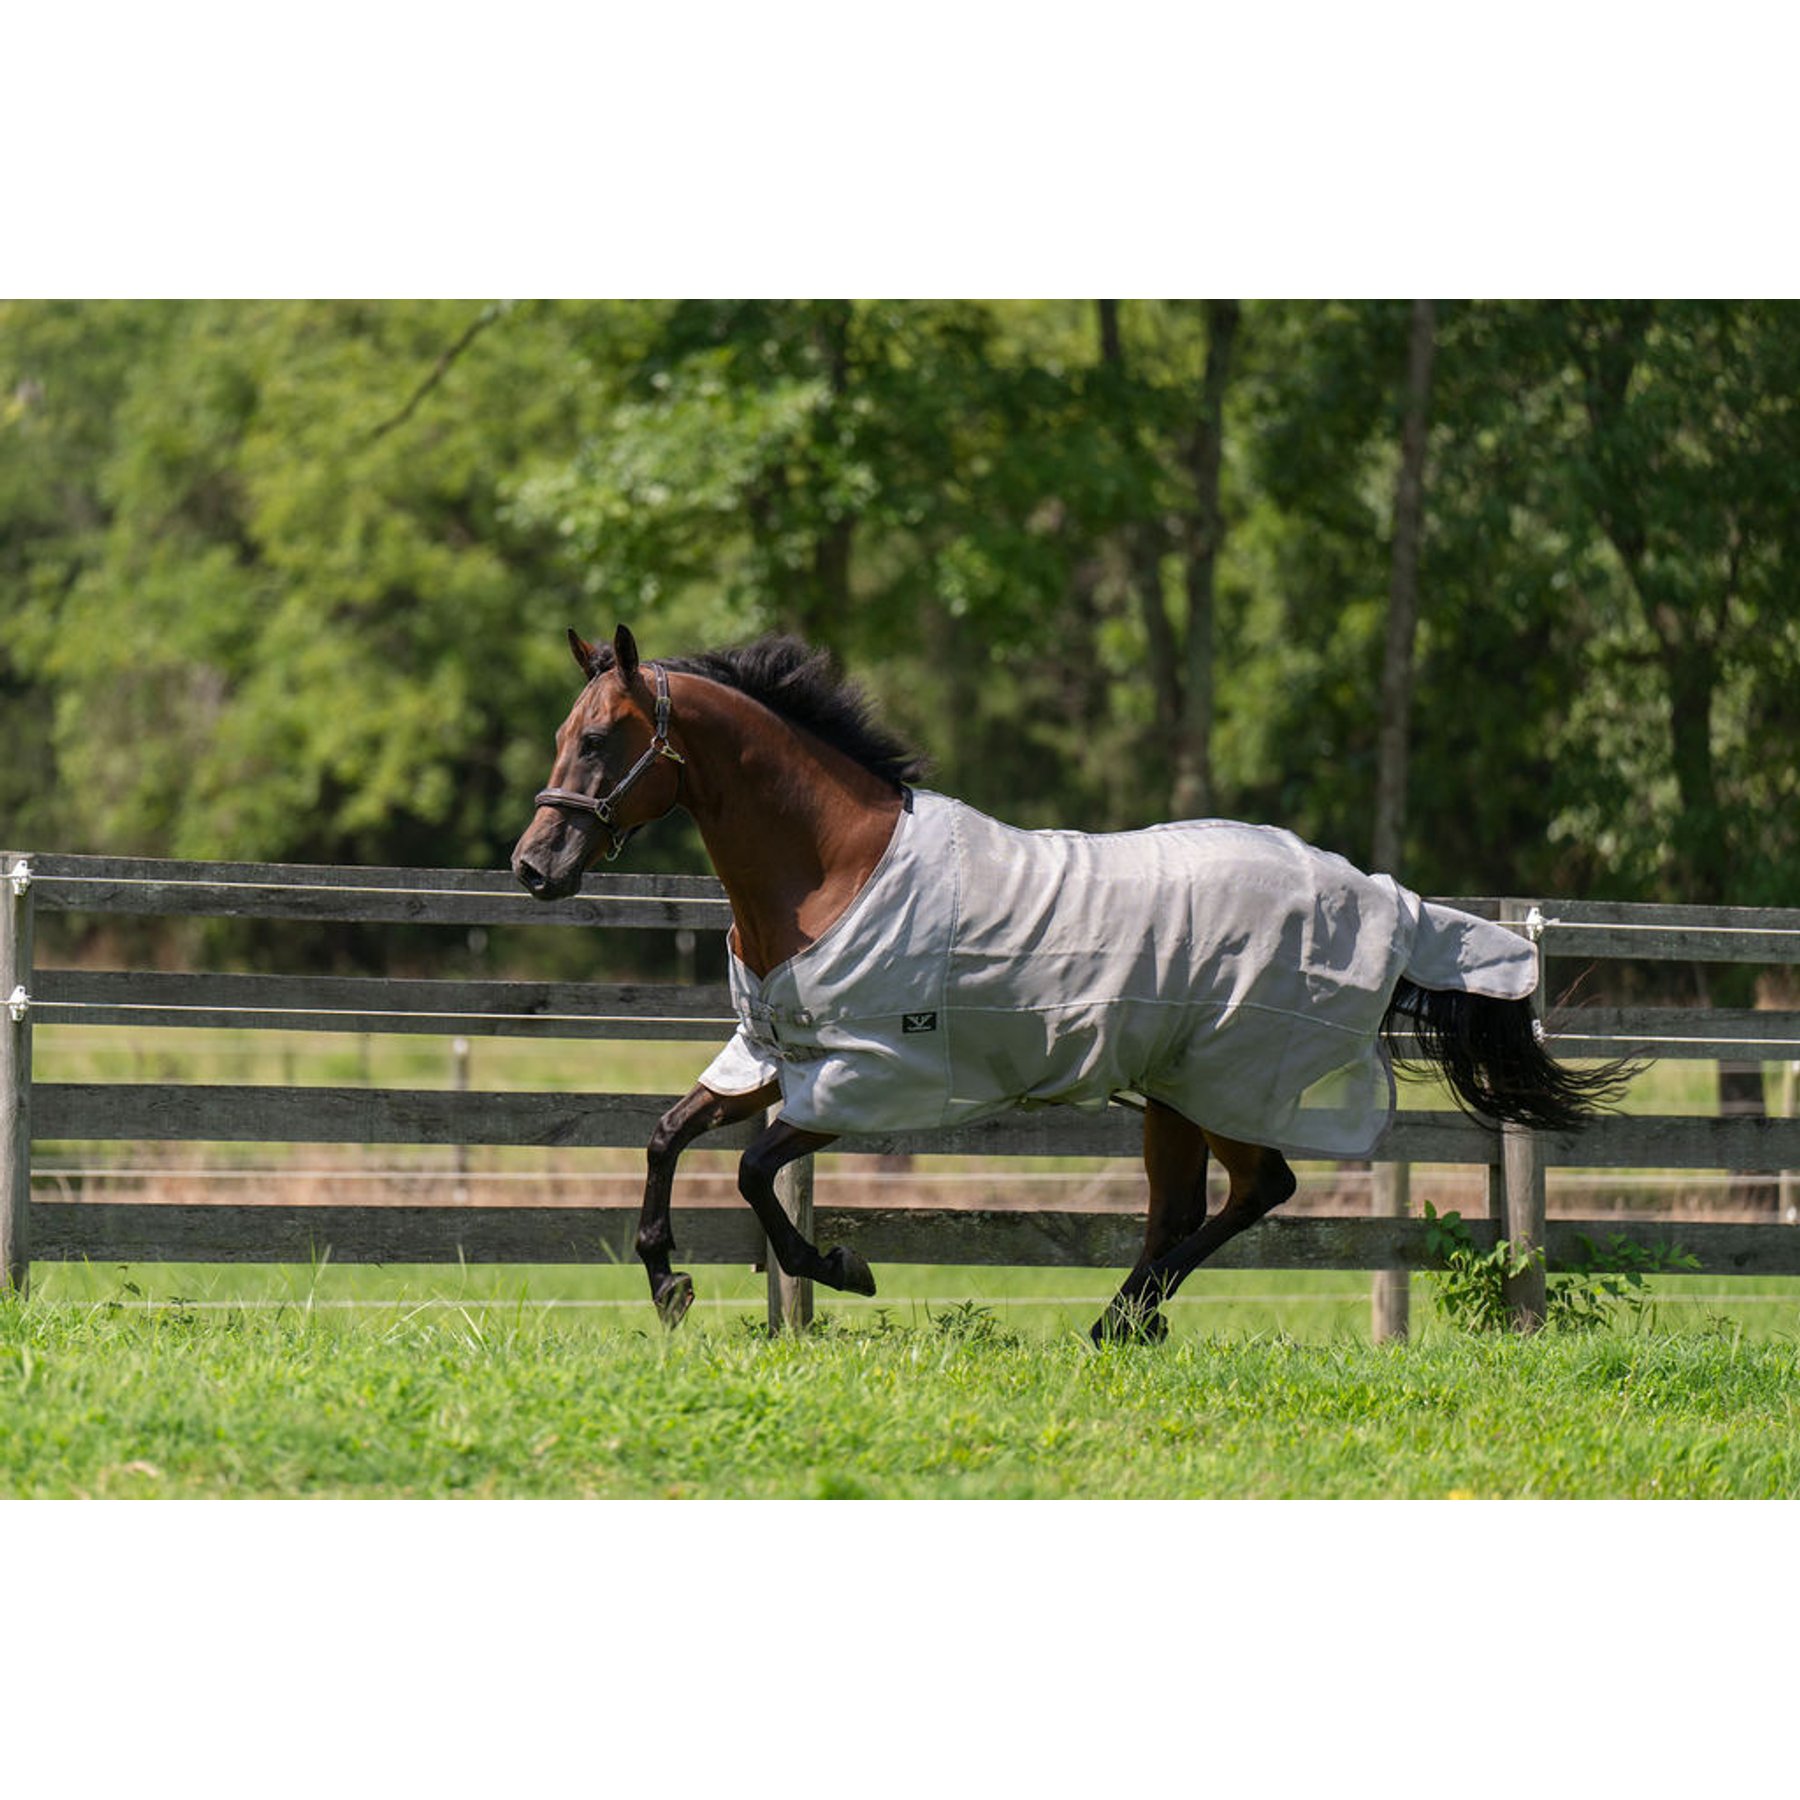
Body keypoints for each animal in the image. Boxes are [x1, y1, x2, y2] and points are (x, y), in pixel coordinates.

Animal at [511, 625, 1629, 1342]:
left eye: (601, 739)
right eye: (561, 735)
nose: (533, 866)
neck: (834, 869)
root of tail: (1387, 901)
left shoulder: (871, 1080)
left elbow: (751, 1173)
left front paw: (842, 1269)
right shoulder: (772, 1057)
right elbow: (666, 1137)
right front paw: (668, 1284)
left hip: (1220, 1082)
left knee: (1258, 1188)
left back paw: (1120, 1321)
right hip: (1175, 1092)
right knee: (1199, 1205)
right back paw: (1124, 1324)